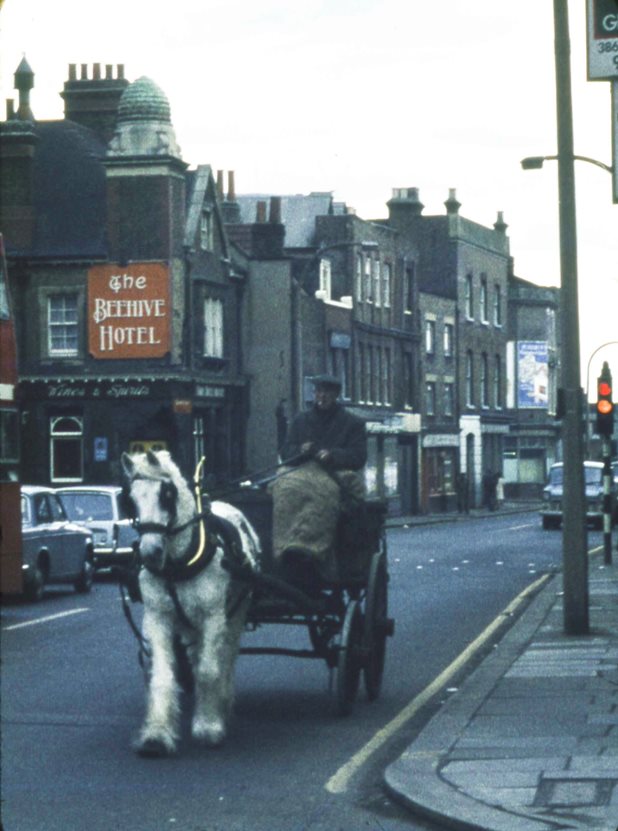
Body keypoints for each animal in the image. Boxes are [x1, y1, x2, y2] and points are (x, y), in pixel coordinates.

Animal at [121, 452, 258, 756]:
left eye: (167, 494)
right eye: (131, 498)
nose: (150, 553)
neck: (179, 563)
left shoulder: (212, 616)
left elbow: (208, 670)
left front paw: (209, 726)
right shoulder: (158, 618)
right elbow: (162, 674)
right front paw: (157, 734)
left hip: (236, 614)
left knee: (226, 657)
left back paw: (223, 701)